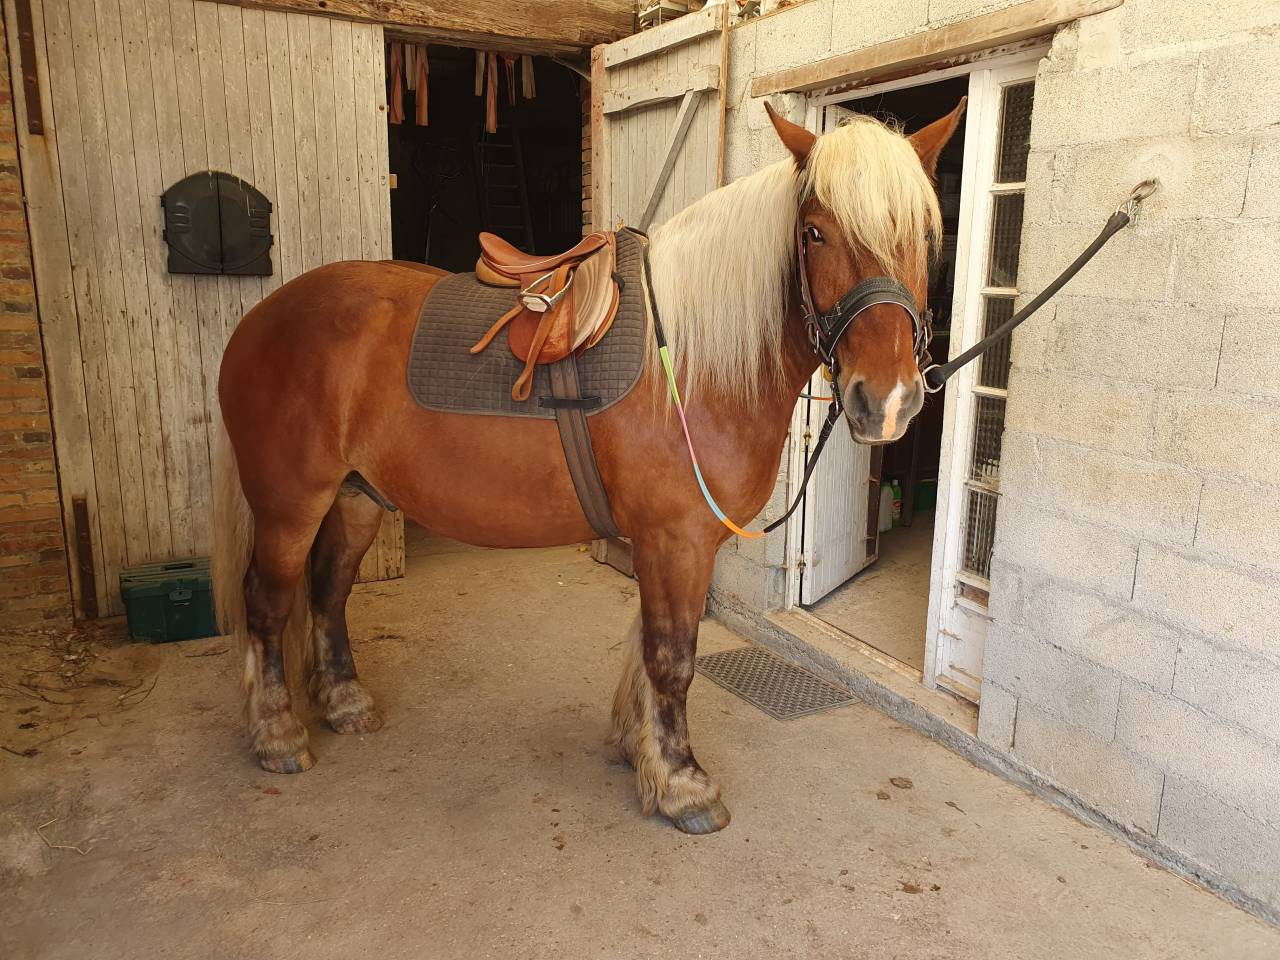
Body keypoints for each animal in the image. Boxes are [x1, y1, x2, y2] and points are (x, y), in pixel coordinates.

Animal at [212, 101, 965, 834]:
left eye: (927, 236)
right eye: (814, 233)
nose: (885, 401)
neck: (687, 363)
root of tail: (261, 318)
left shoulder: (670, 543)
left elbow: (645, 646)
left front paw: (639, 750)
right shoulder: (675, 539)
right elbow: (672, 657)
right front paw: (683, 783)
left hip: (357, 497)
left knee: (328, 592)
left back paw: (343, 702)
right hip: (289, 505)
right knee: (268, 603)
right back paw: (278, 735)